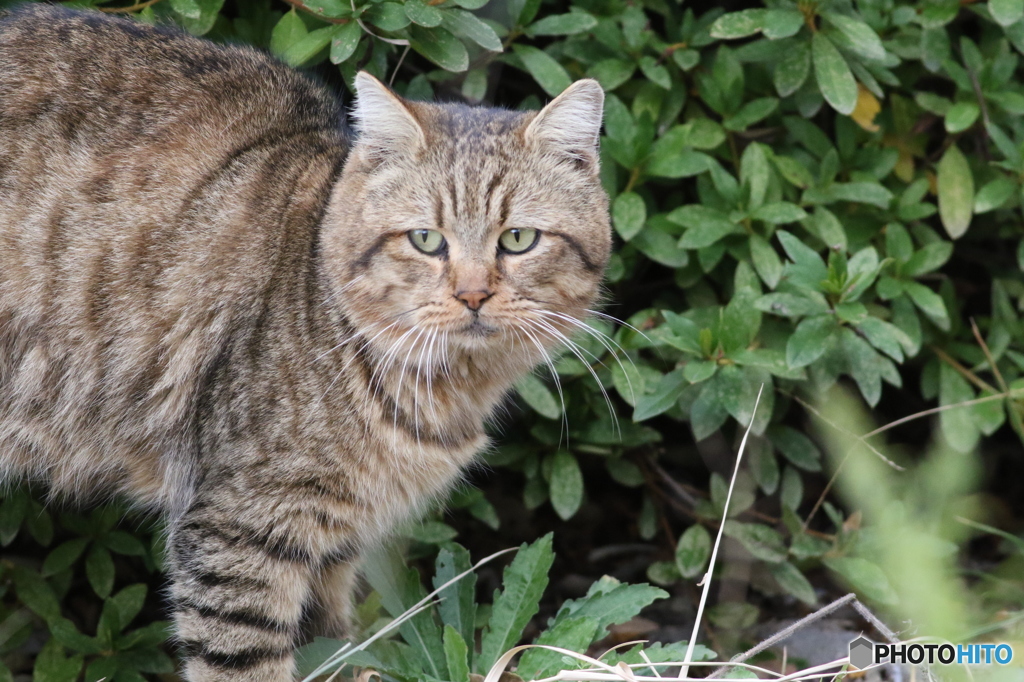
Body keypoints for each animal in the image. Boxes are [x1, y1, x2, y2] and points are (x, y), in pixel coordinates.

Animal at [0, 2, 606, 675]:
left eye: (518, 239)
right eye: (426, 240)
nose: (473, 295)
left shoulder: (333, 545)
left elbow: (331, 649)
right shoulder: (238, 530)